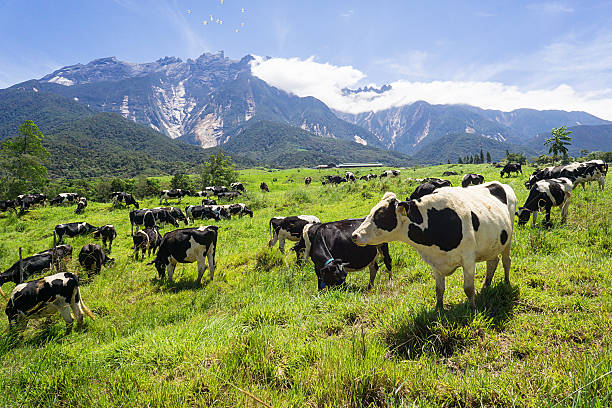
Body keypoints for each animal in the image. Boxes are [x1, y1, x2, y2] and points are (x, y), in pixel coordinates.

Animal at [352, 183, 520, 308]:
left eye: (380, 215)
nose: (355, 235)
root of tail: (501, 185)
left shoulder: (468, 259)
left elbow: (468, 289)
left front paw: (472, 308)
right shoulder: (435, 262)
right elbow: (439, 289)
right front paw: (439, 309)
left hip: (508, 239)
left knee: (506, 261)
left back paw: (506, 282)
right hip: (492, 244)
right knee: (493, 261)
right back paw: (486, 285)